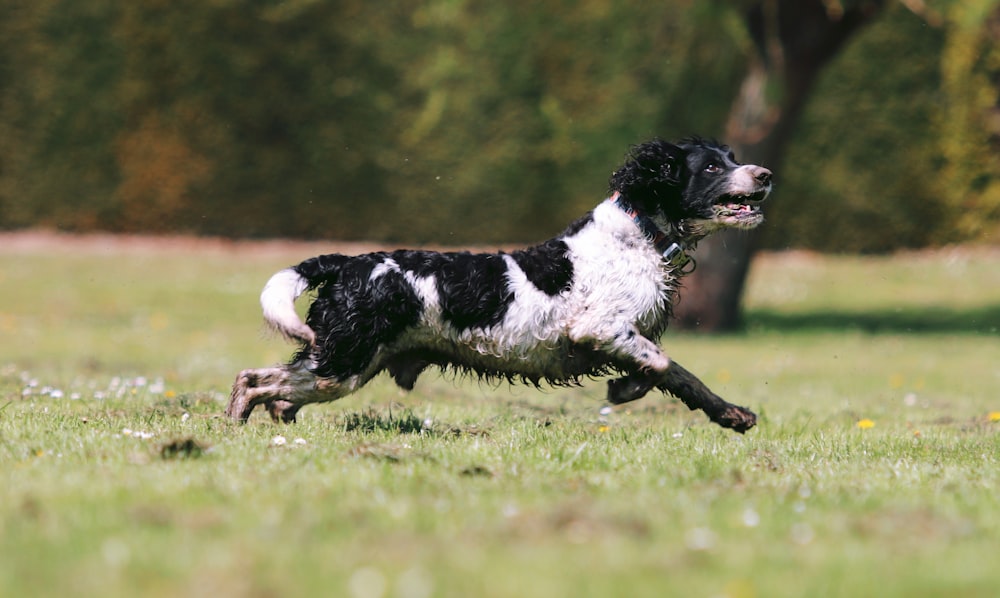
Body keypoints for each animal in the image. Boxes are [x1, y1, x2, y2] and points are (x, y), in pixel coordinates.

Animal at [229, 138, 772, 434]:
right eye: (711, 166)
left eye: (732, 156)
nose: (766, 174)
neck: (639, 233)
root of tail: (346, 264)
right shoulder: (599, 329)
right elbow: (658, 365)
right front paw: (621, 390)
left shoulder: (628, 336)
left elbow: (682, 377)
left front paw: (734, 415)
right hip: (342, 361)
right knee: (252, 380)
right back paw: (233, 427)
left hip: (346, 363)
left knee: (279, 395)